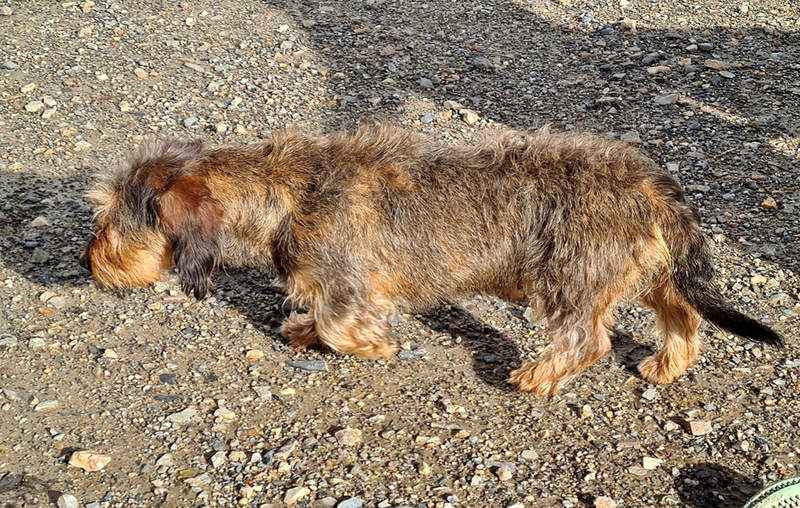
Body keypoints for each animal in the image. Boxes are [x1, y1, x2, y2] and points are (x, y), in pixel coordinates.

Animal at [79, 124, 783, 395]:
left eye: (110, 220)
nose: (90, 265)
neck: (281, 192)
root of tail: (650, 180)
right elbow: (318, 317)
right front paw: (304, 331)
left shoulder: (346, 280)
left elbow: (342, 322)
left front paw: (371, 345)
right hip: (646, 268)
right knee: (683, 312)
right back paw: (668, 362)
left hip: (571, 275)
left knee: (589, 338)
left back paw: (537, 374)